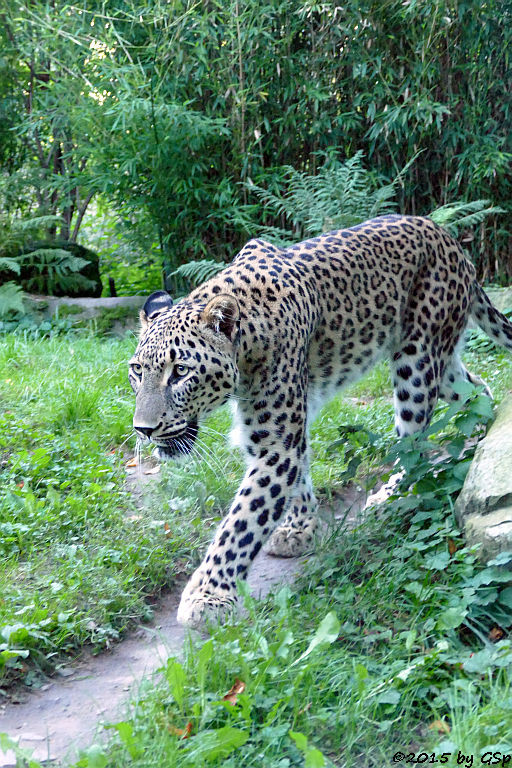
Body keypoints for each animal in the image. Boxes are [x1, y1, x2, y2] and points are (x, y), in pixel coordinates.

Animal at [129, 214, 512, 632]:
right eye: (137, 371)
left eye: (180, 372)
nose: (143, 429)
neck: (245, 351)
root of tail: (450, 240)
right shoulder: (275, 433)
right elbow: (296, 480)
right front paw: (300, 529)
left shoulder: (277, 445)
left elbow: (243, 521)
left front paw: (207, 595)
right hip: (441, 365)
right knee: (476, 390)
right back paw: (483, 430)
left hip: (417, 359)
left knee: (413, 440)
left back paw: (392, 494)